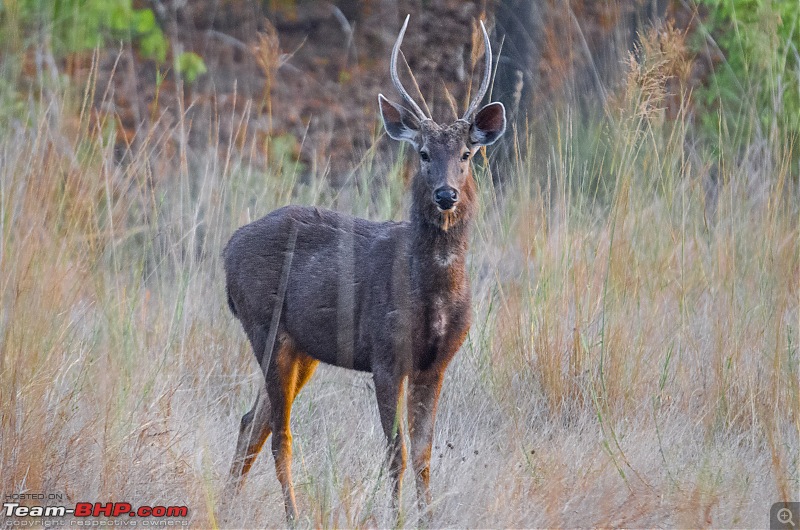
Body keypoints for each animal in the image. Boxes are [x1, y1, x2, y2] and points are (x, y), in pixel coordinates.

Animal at [222, 15, 504, 520]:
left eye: (467, 154)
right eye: (423, 153)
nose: (446, 194)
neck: (432, 294)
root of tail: (226, 253)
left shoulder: (435, 364)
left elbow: (425, 454)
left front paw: (428, 518)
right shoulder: (385, 355)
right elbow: (397, 452)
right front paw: (396, 518)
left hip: (303, 348)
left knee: (252, 422)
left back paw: (228, 506)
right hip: (265, 327)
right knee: (279, 433)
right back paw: (293, 516)